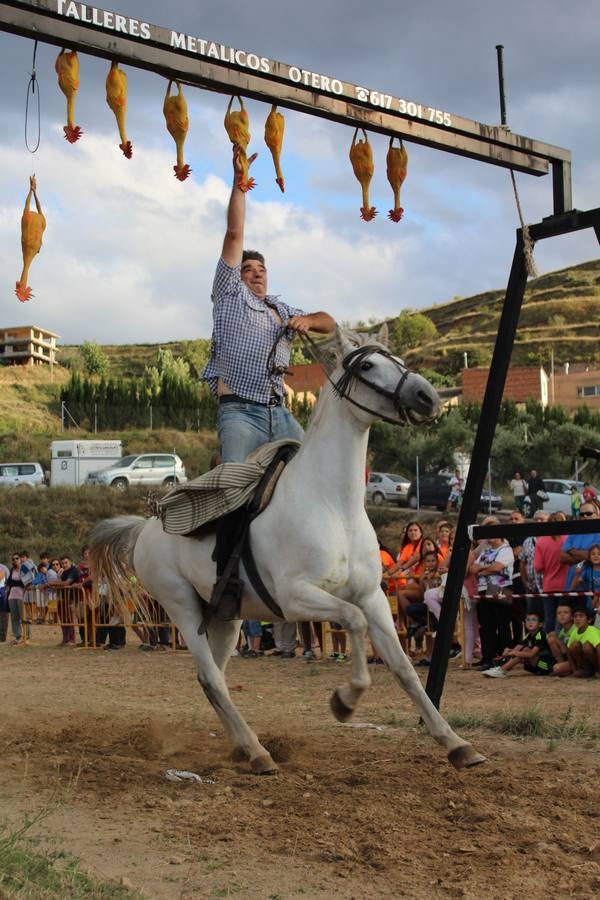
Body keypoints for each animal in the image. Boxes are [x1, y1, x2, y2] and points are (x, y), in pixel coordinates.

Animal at [90, 326, 482, 776]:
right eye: (367, 365)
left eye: (398, 360)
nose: (427, 396)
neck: (334, 504)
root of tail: (145, 527)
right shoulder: (297, 598)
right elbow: (353, 622)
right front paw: (344, 702)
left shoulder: (372, 598)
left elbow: (403, 668)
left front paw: (455, 743)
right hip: (182, 608)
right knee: (211, 677)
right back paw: (258, 752)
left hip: (225, 618)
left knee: (213, 679)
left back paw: (245, 748)